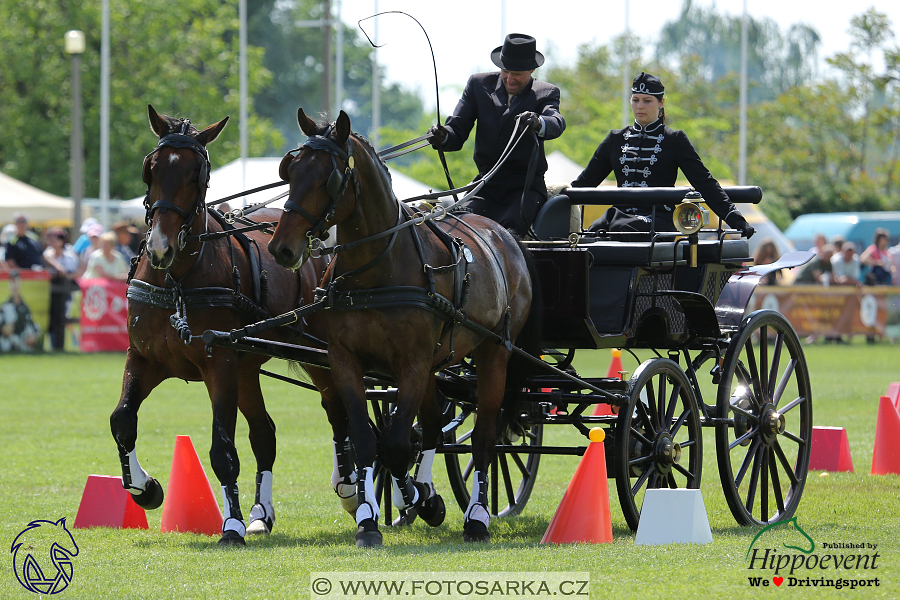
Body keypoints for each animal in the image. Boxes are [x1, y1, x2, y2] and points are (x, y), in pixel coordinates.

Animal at [110, 105, 356, 548]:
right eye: (151, 169)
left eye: (197, 174)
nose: (159, 248)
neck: (178, 282)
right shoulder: (143, 358)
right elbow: (122, 420)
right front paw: (145, 488)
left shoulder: (219, 363)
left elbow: (222, 449)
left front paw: (232, 526)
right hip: (248, 367)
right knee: (265, 433)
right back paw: (263, 513)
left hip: (318, 354)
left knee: (338, 411)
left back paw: (348, 488)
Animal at [264, 108, 536, 548]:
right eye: (289, 170)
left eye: (329, 178)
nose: (281, 249)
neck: (375, 271)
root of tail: (505, 235)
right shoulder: (345, 360)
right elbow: (366, 438)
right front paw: (371, 517)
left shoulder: (411, 362)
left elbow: (394, 445)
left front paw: (413, 501)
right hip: (435, 364)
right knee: (432, 427)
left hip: (493, 352)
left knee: (483, 437)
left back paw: (477, 517)